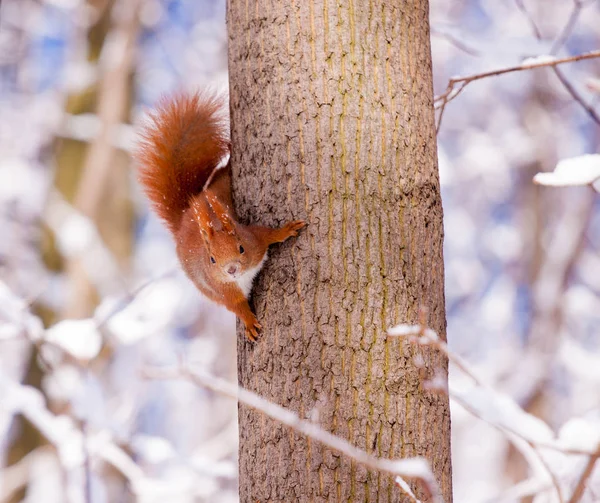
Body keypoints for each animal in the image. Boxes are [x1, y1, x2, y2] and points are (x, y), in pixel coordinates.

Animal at [136, 92, 304, 340]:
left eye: (241, 248)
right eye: (212, 259)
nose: (231, 270)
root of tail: (185, 218)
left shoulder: (254, 239)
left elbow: (266, 234)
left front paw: (285, 230)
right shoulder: (220, 288)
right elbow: (236, 305)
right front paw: (249, 323)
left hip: (222, 180)